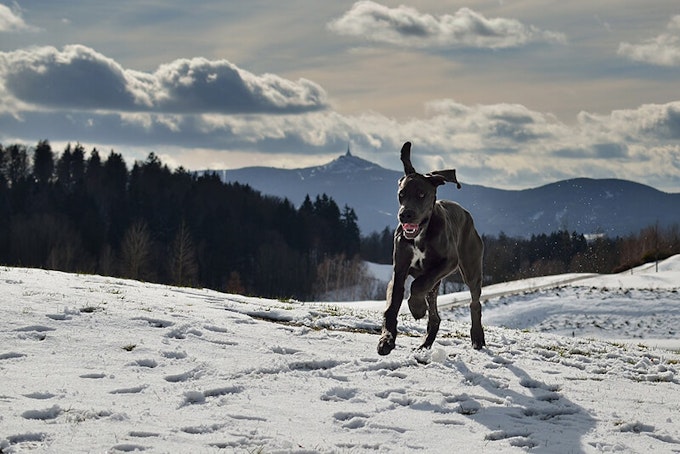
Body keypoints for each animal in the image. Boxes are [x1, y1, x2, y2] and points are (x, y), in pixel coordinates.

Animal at [378, 142, 484, 354]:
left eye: (421, 194)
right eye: (401, 194)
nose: (405, 215)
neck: (420, 236)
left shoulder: (449, 262)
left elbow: (418, 285)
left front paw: (416, 308)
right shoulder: (399, 270)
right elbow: (392, 305)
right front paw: (386, 340)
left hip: (471, 269)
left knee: (474, 302)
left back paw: (477, 337)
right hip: (436, 285)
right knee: (435, 316)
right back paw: (425, 344)